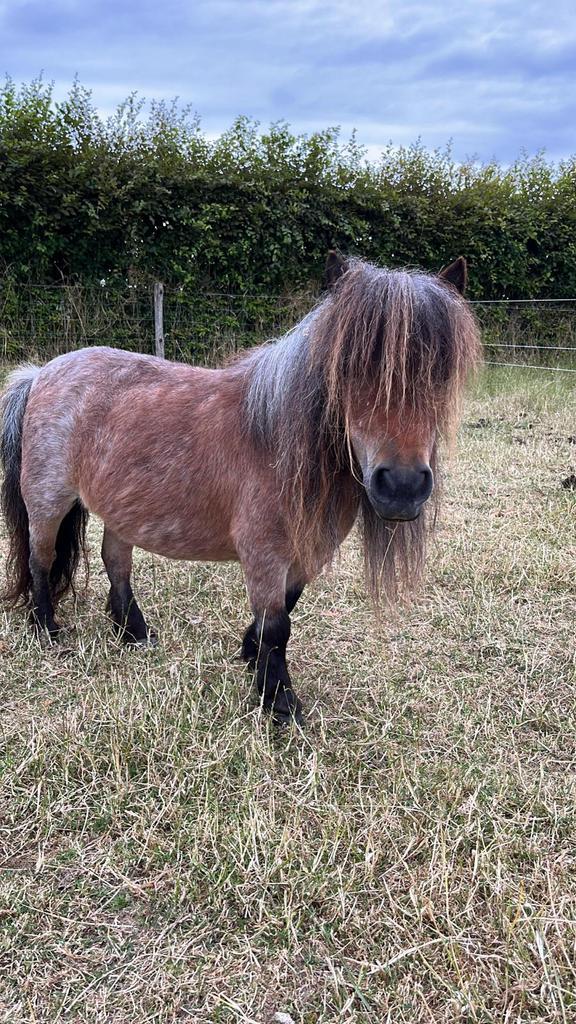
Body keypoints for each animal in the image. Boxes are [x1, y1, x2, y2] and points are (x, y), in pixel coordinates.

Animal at [0, 254, 481, 725]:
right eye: (349, 366)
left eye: (442, 371)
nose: (402, 486)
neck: (278, 442)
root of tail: (41, 372)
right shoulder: (264, 553)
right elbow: (278, 625)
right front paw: (279, 702)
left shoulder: (307, 551)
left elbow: (285, 610)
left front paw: (253, 659)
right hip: (48, 501)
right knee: (42, 559)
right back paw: (47, 630)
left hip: (123, 507)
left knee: (116, 562)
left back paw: (134, 633)